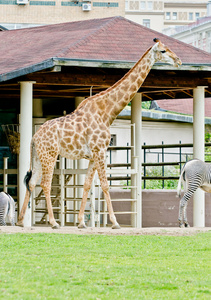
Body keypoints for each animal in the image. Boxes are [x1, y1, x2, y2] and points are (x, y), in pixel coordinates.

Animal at [16, 38, 181, 229]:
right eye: (163, 51)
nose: (178, 61)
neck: (107, 112)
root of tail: (34, 138)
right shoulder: (101, 151)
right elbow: (105, 185)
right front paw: (115, 222)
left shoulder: (93, 155)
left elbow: (87, 185)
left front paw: (81, 222)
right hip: (50, 155)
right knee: (45, 183)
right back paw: (53, 222)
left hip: (37, 156)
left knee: (32, 182)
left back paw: (20, 221)